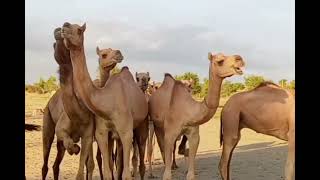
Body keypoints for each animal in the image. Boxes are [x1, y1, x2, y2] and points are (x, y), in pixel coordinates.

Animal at [59, 22, 148, 180]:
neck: (106, 103)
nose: (65, 25)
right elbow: (108, 171)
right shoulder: (101, 132)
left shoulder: (126, 131)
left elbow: (126, 174)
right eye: (103, 54)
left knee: (141, 160)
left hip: (142, 126)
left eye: (80, 30)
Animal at [148, 52, 245, 180]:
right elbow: (167, 175)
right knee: (155, 146)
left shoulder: (194, 134)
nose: (239, 59)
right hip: (153, 124)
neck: (188, 110)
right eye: (220, 61)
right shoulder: (170, 132)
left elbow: (190, 174)